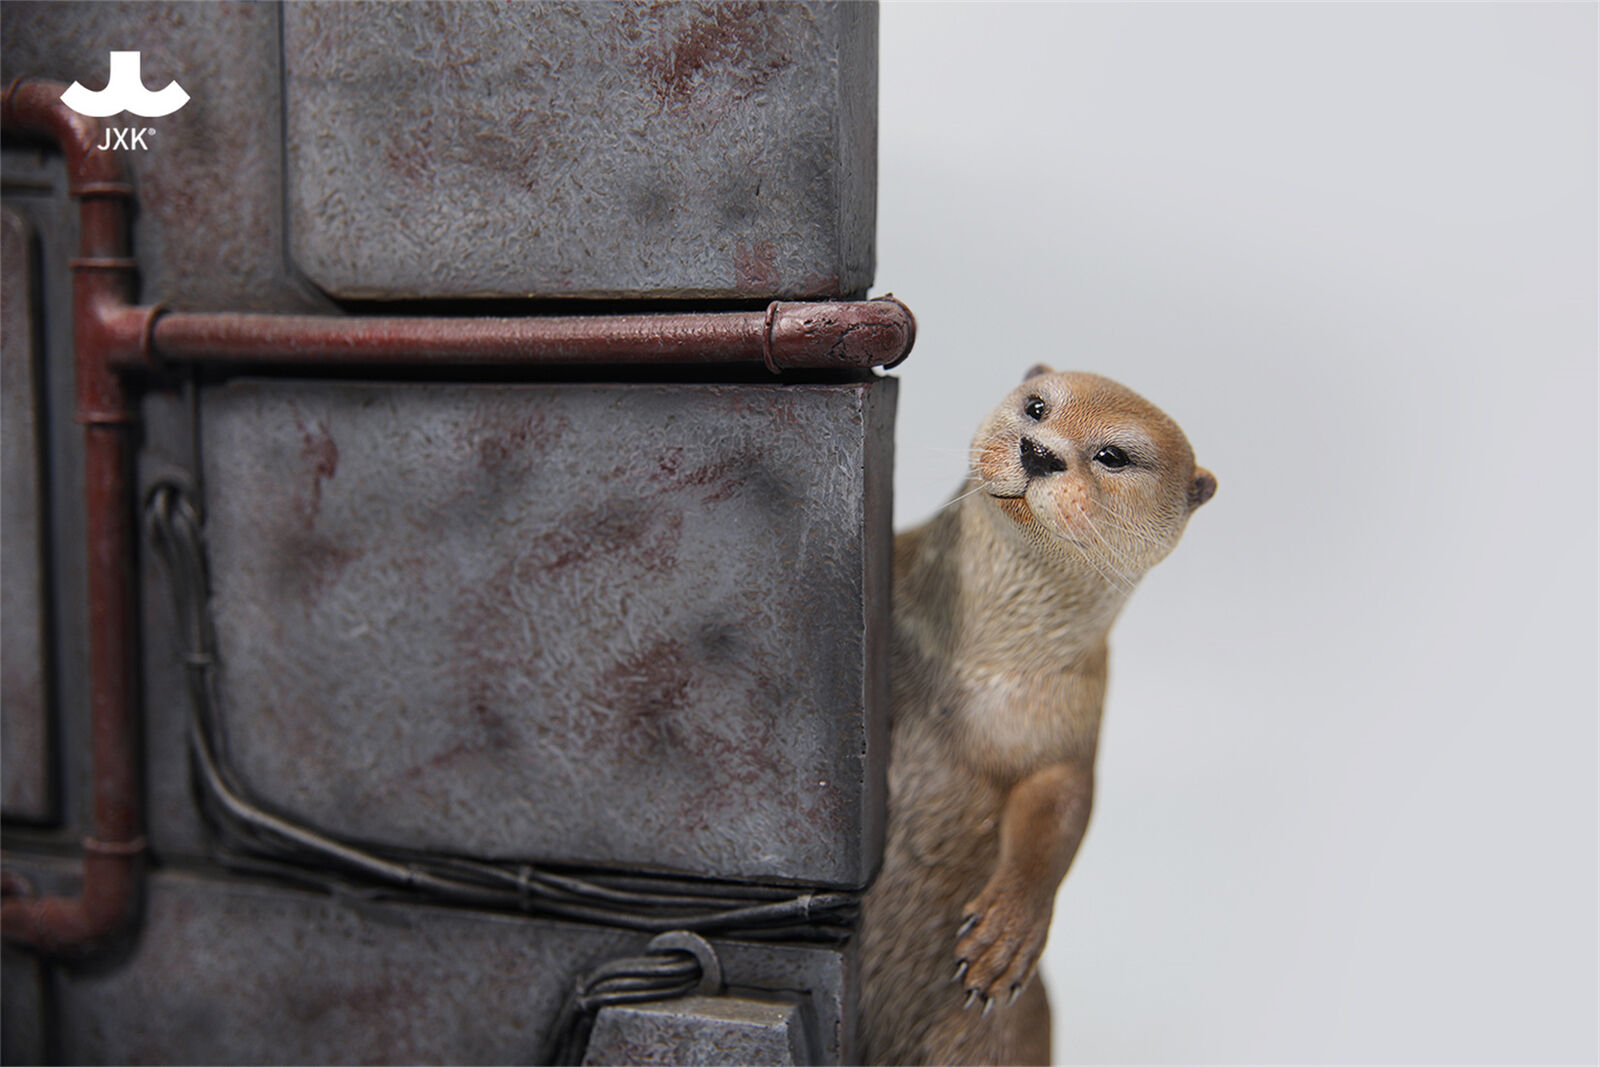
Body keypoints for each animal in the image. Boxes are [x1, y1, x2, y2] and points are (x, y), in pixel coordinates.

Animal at [858, 367, 1216, 1065]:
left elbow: (1062, 808)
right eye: (1037, 407)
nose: (1040, 452)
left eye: (1113, 455)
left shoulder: (1071, 722)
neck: (975, 667)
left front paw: (1007, 932)